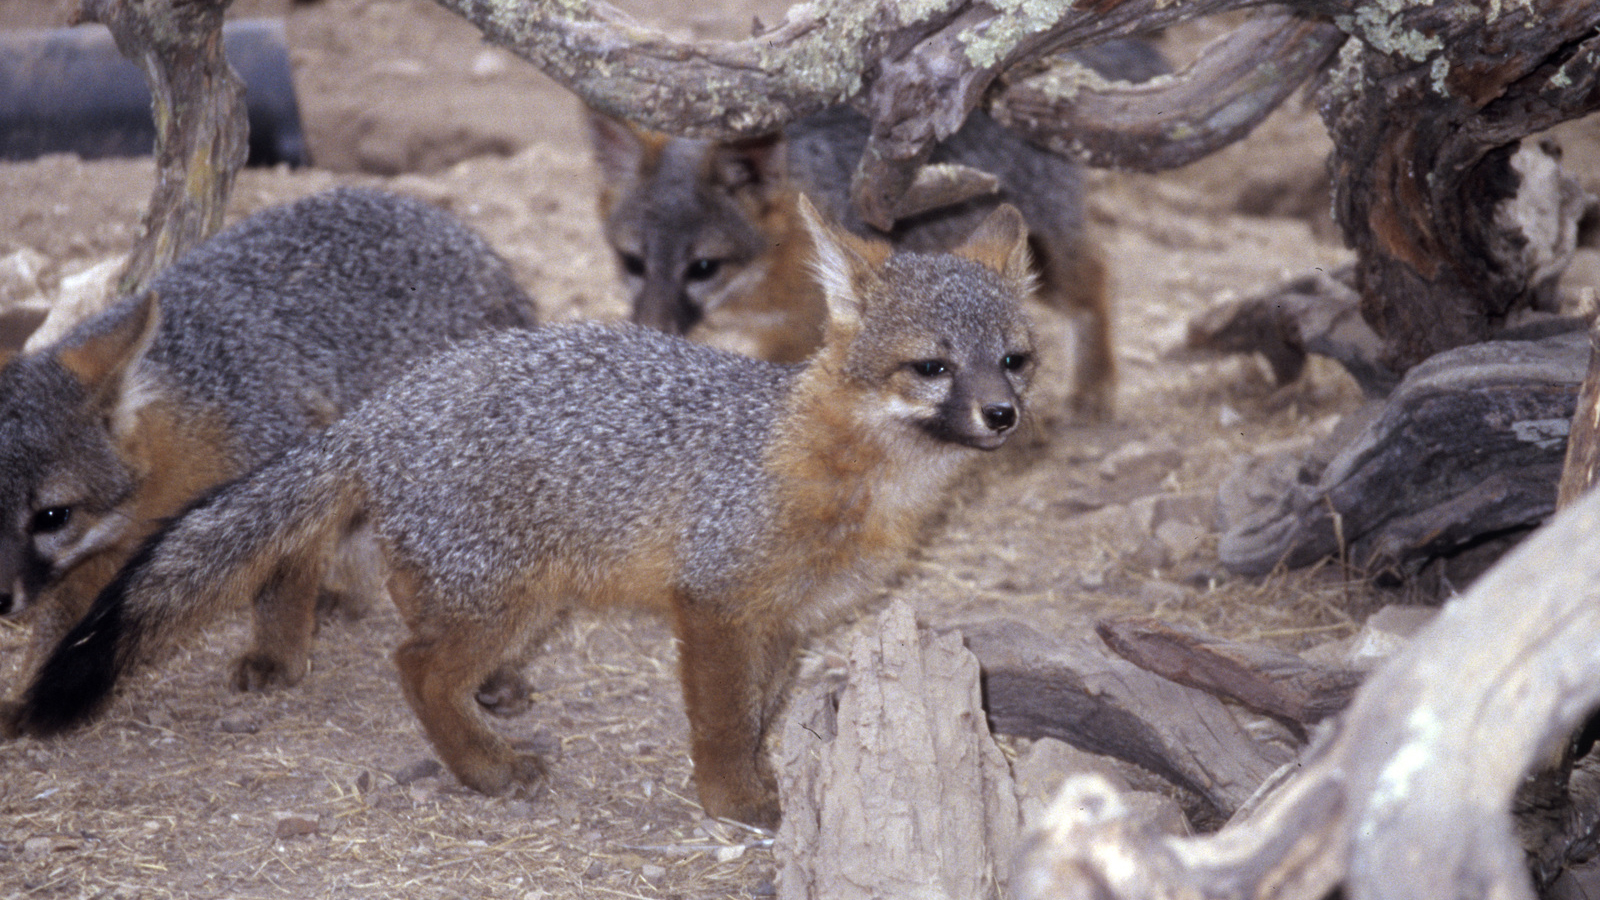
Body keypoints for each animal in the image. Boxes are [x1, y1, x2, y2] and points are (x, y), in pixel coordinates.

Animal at [0, 187, 540, 701]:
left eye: (52, 516)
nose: (1, 600)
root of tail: (465, 235)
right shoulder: (104, 556)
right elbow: (64, 623)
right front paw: (26, 693)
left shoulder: (283, 474)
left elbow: (279, 583)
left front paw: (275, 656)